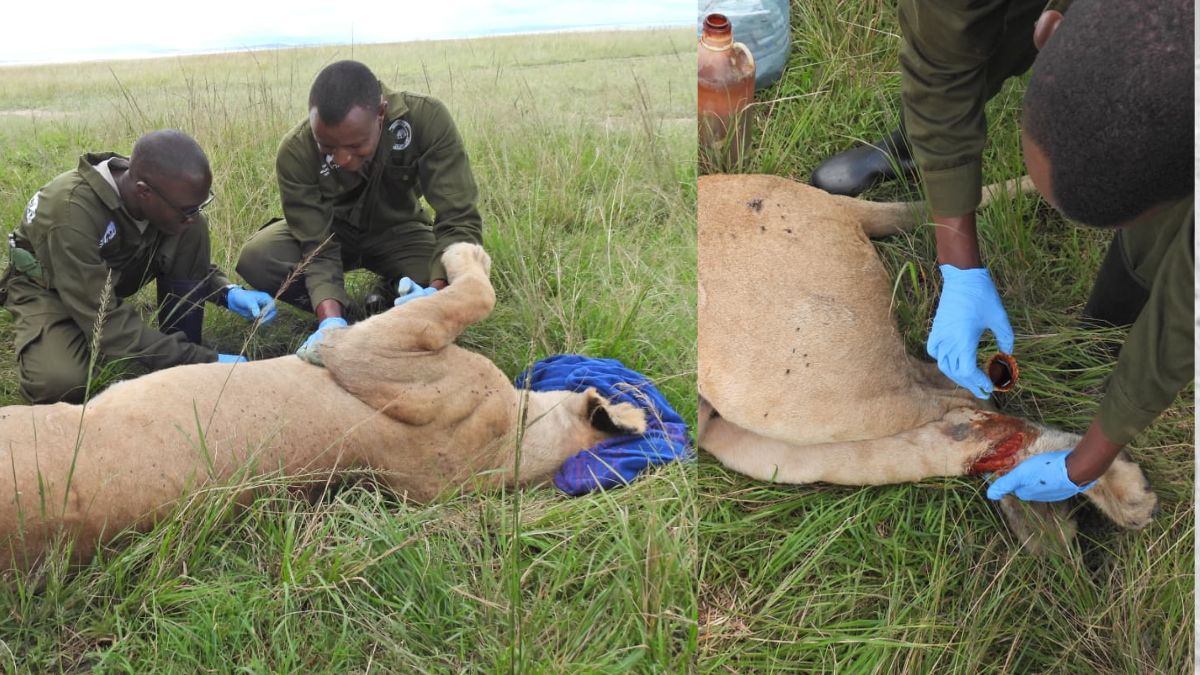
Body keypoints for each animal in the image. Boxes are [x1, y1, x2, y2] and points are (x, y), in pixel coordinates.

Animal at [697, 174, 1157, 542]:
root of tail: (827, 198)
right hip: (761, 433)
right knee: (946, 436)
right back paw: (1068, 514)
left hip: (791, 391)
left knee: (965, 404)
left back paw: (1087, 492)